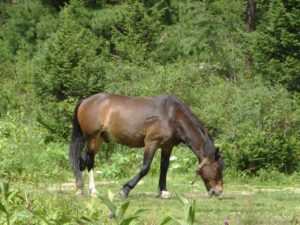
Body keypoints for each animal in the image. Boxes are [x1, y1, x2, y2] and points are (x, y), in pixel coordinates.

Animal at [69, 92, 224, 198]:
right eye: (217, 169)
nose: (218, 191)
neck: (172, 116)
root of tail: (85, 101)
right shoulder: (151, 143)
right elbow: (145, 168)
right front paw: (125, 189)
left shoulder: (167, 147)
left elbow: (164, 168)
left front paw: (163, 191)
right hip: (92, 138)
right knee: (89, 162)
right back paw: (93, 190)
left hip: (99, 139)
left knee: (82, 161)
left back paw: (80, 189)